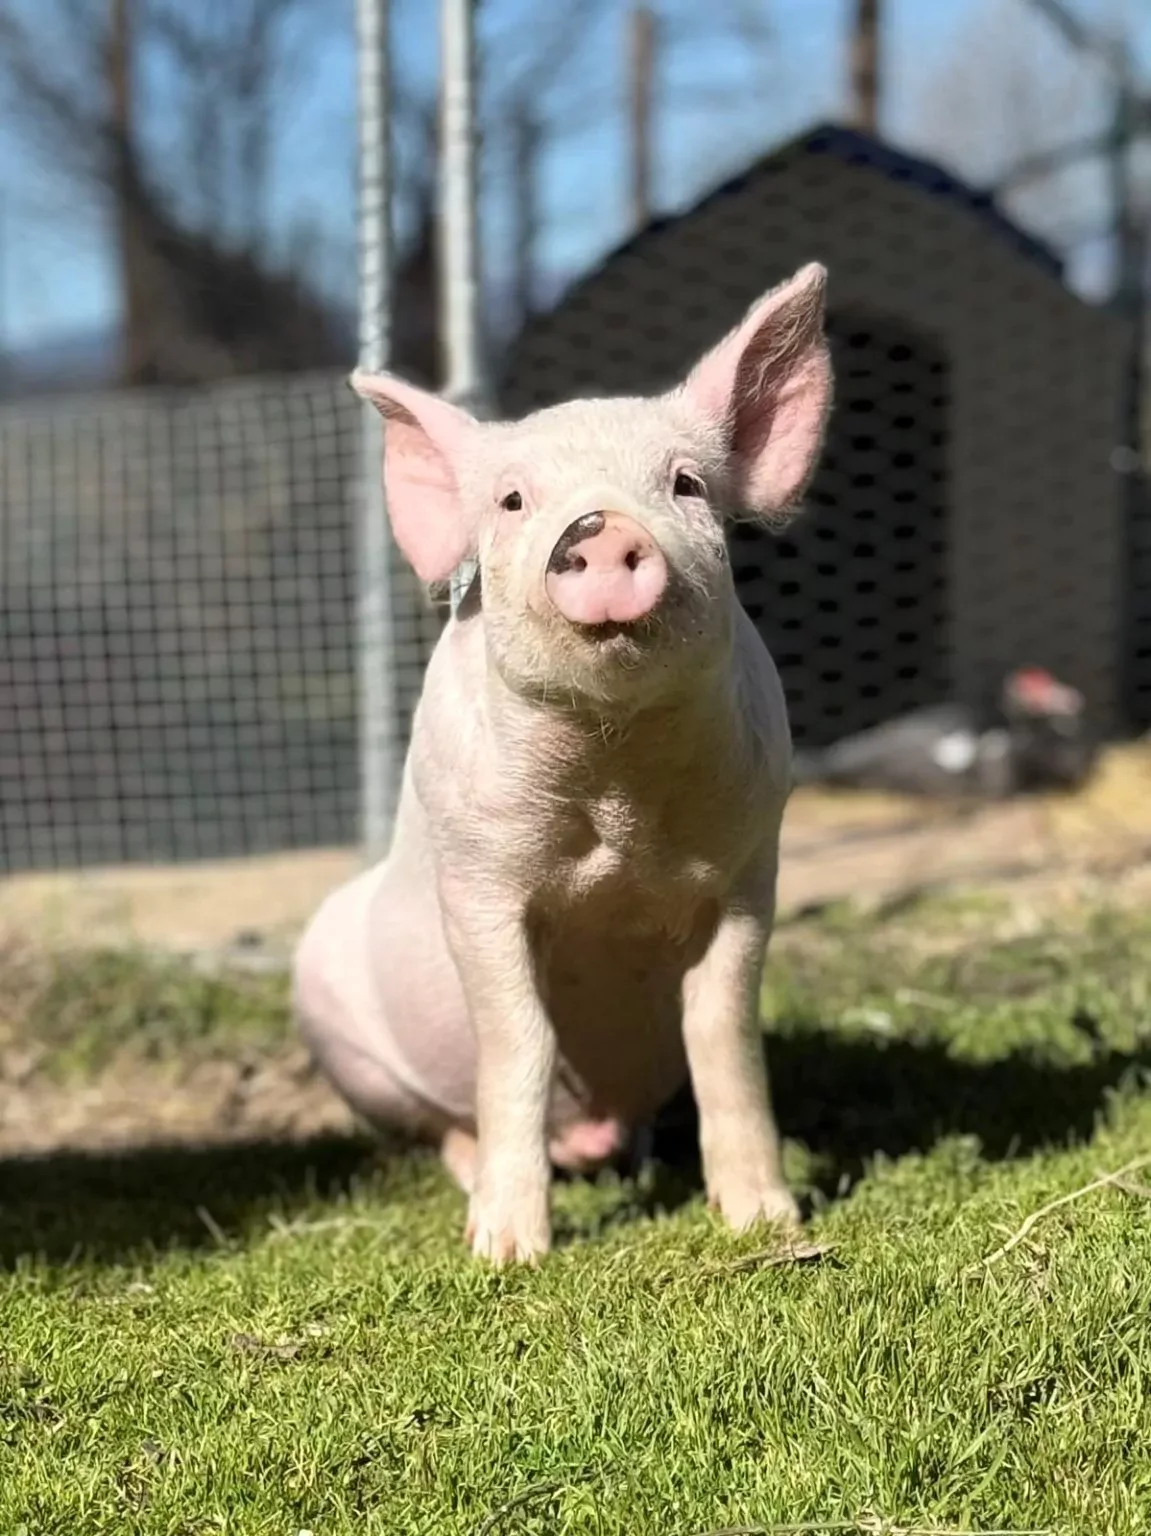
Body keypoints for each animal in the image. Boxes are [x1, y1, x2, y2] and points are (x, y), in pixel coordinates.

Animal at [293, 263, 833, 1263]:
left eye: (686, 484)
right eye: (511, 503)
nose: (601, 528)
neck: (613, 782)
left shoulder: (748, 870)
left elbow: (722, 1032)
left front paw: (765, 1221)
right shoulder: (476, 883)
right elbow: (519, 1042)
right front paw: (505, 1254)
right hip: (335, 1033)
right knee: (436, 1128)